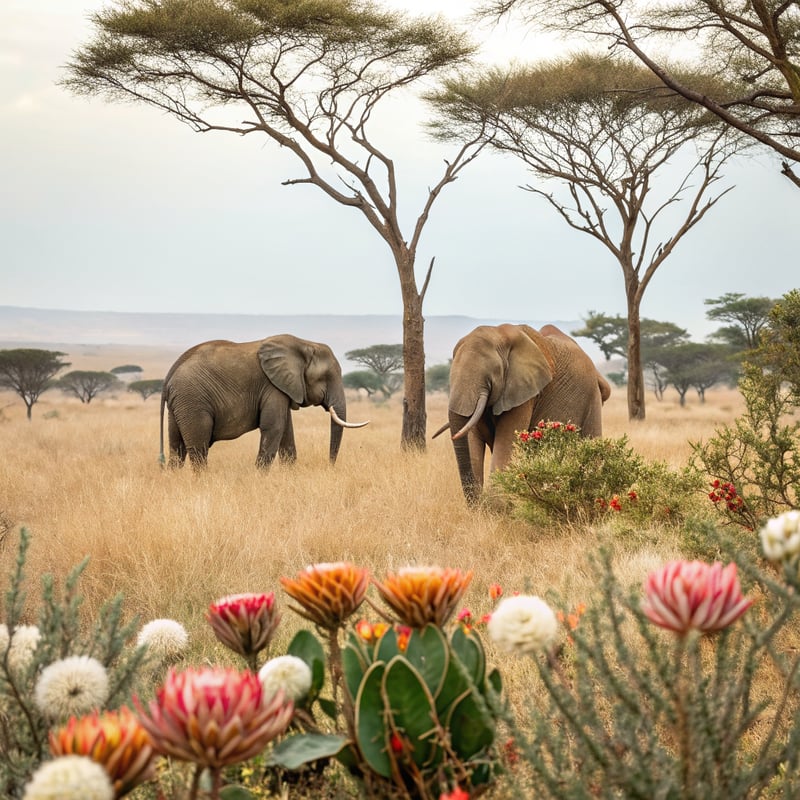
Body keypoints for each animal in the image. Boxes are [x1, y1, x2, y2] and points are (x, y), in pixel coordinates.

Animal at [159, 334, 368, 469]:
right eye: (326, 377)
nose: (330, 466)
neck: (304, 344)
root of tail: (168, 378)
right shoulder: (272, 386)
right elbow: (274, 427)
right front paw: (260, 477)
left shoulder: (282, 388)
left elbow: (286, 430)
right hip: (193, 401)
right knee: (198, 450)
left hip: (181, 405)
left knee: (177, 449)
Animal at [433, 323, 611, 503]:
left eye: (493, 372)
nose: (479, 502)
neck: (499, 335)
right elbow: (472, 437)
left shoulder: (525, 392)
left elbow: (506, 440)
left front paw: (496, 506)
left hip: (592, 399)